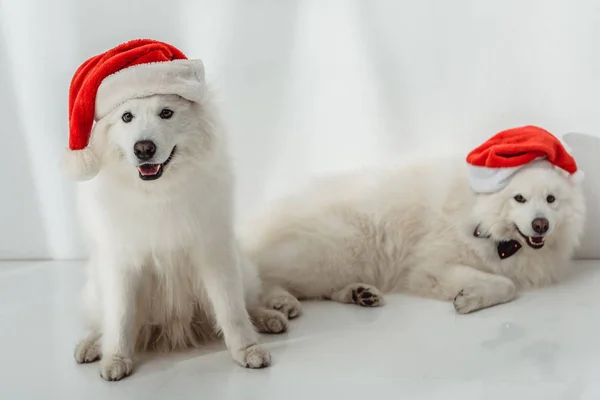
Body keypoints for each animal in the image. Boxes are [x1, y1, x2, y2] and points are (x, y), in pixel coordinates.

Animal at [62, 40, 288, 382]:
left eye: (166, 113)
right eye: (127, 117)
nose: (144, 149)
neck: (158, 193)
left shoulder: (215, 254)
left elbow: (231, 310)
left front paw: (247, 350)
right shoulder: (121, 264)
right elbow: (120, 317)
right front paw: (116, 358)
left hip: (244, 268)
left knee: (250, 300)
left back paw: (269, 317)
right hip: (94, 288)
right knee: (102, 322)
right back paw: (92, 345)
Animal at [241, 126, 584, 314]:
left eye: (551, 200)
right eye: (519, 199)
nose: (541, 225)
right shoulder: (430, 267)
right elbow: (507, 284)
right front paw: (471, 299)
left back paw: (360, 294)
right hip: (333, 254)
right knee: (264, 279)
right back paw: (282, 303)